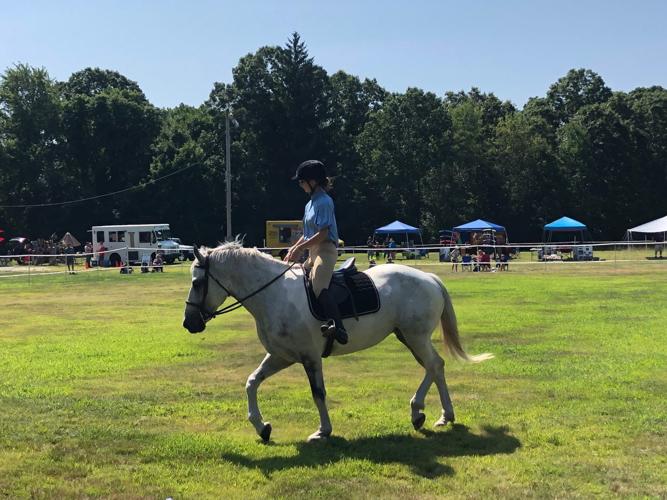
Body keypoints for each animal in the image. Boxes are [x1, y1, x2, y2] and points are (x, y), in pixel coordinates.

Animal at [182, 241, 492, 442]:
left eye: (197, 283)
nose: (189, 323)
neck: (274, 294)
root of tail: (428, 277)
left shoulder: (309, 357)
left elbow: (318, 393)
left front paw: (323, 431)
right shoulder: (282, 356)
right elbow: (251, 382)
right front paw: (262, 427)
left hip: (415, 337)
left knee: (434, 365)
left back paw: (432, 413)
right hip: (408, 336)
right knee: (434, 367)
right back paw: (430, 414)